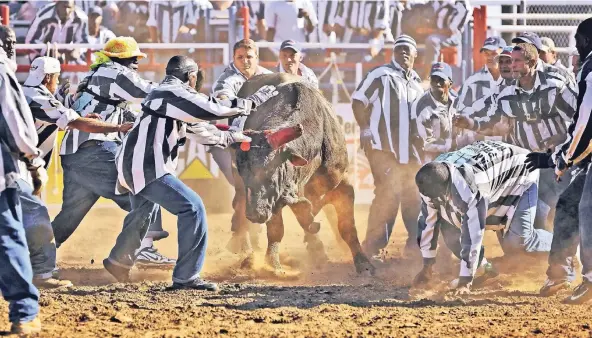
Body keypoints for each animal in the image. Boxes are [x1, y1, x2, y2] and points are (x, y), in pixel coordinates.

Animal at [230, 72, 374, 276]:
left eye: (271, 168)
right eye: (243, 172)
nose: (255, 213)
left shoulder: (344, 186)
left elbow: (346, 228)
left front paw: (364, 264)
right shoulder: (275, 197)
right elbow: (278, 228)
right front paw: (273, 264)